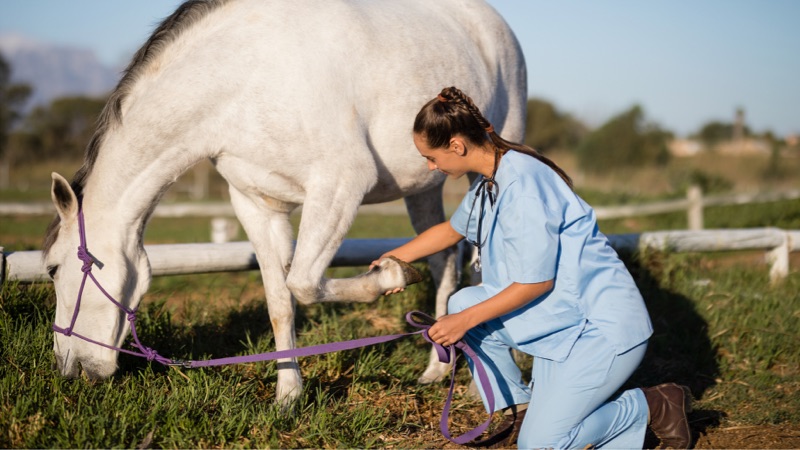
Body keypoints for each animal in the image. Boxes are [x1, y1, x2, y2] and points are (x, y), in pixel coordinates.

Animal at [43, 0, 527, 406]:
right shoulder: (258, 204)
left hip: (489, 163)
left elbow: (305, 284)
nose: (68, 367)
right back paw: (435, 369)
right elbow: (280, 301)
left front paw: (389, 274)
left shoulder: (339, 185)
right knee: (445, 260)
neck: (241, 78)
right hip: (423, 185)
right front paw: (288, 396)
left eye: (51, 268)